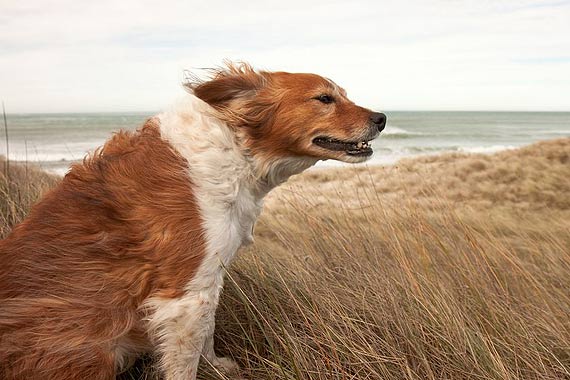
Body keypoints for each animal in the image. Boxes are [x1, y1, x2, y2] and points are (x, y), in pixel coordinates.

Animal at [0, 60, 386, 378]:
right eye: (324, 98)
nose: (382, 118)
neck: (237, 152)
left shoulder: (208, 279)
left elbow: (207, 332)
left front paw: (215, 365)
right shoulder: (183, 294)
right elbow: (185, 359)